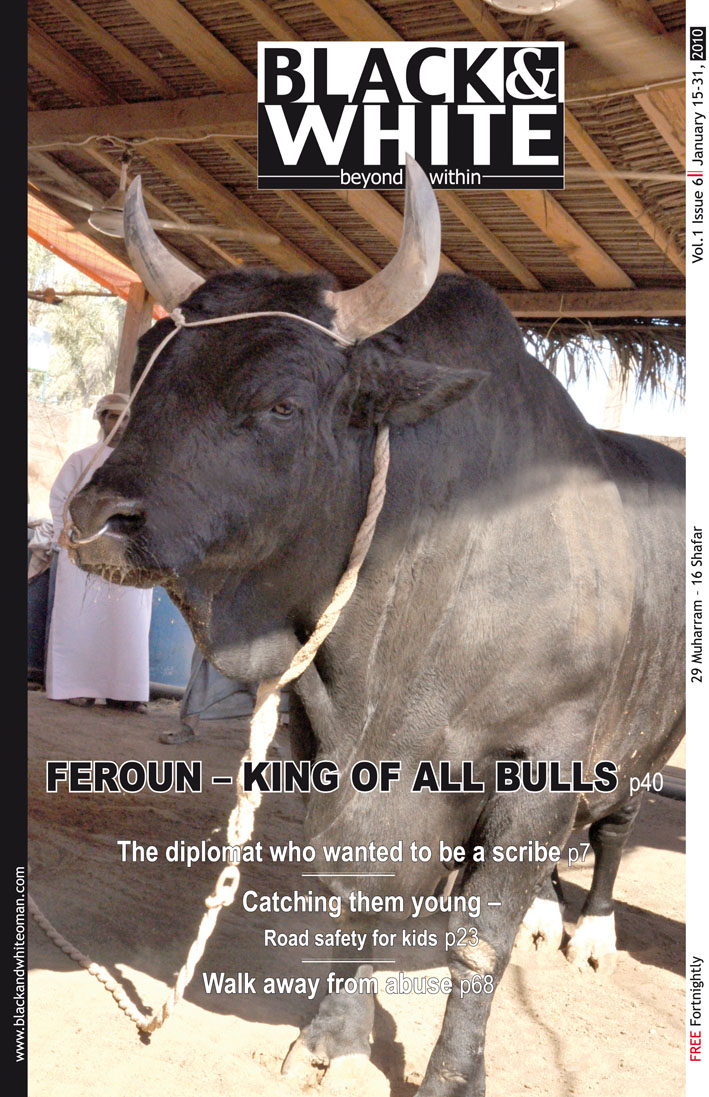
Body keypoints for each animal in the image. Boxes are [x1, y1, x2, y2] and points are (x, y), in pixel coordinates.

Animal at [68, 159, 685, 1097]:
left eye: (283, 403)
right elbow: (359, 894)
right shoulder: (326, 748)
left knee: (612, 828)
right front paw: (332, 1033)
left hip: (646, 740)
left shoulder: (542, 759)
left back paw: (590, 930)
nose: (98, 516)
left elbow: (478, 939)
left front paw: (452, 1074)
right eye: (148, 367)